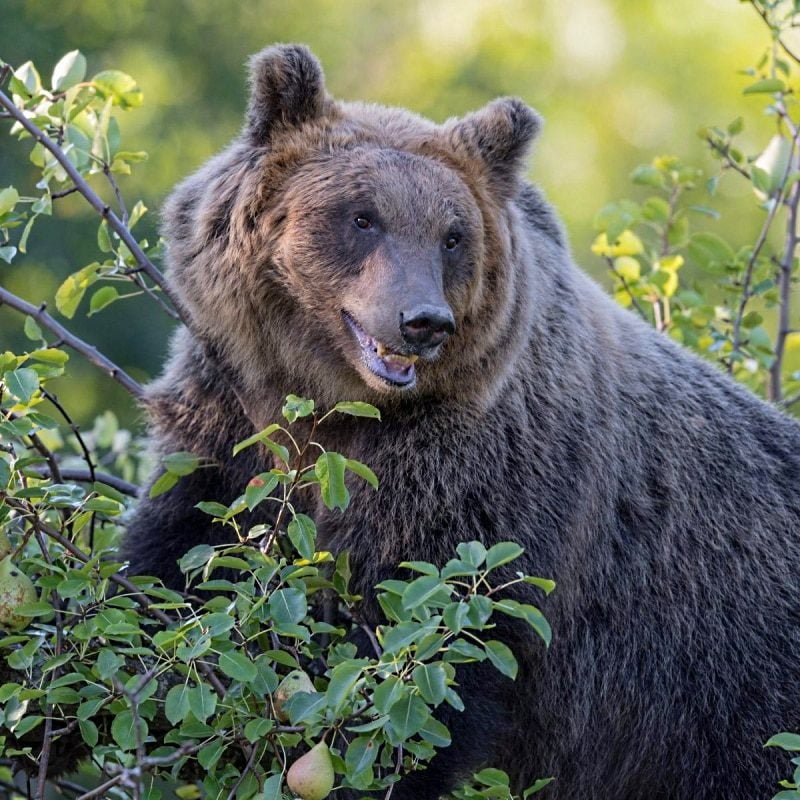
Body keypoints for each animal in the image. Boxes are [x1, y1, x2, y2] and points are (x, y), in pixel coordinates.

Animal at [125, 45, 800, 800]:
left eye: (452, 235)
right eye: (362, 217)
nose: (422, 321)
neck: (337, 406)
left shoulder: (477, 477)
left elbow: (430, 646)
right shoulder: (230, 415)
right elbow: (180, 555)